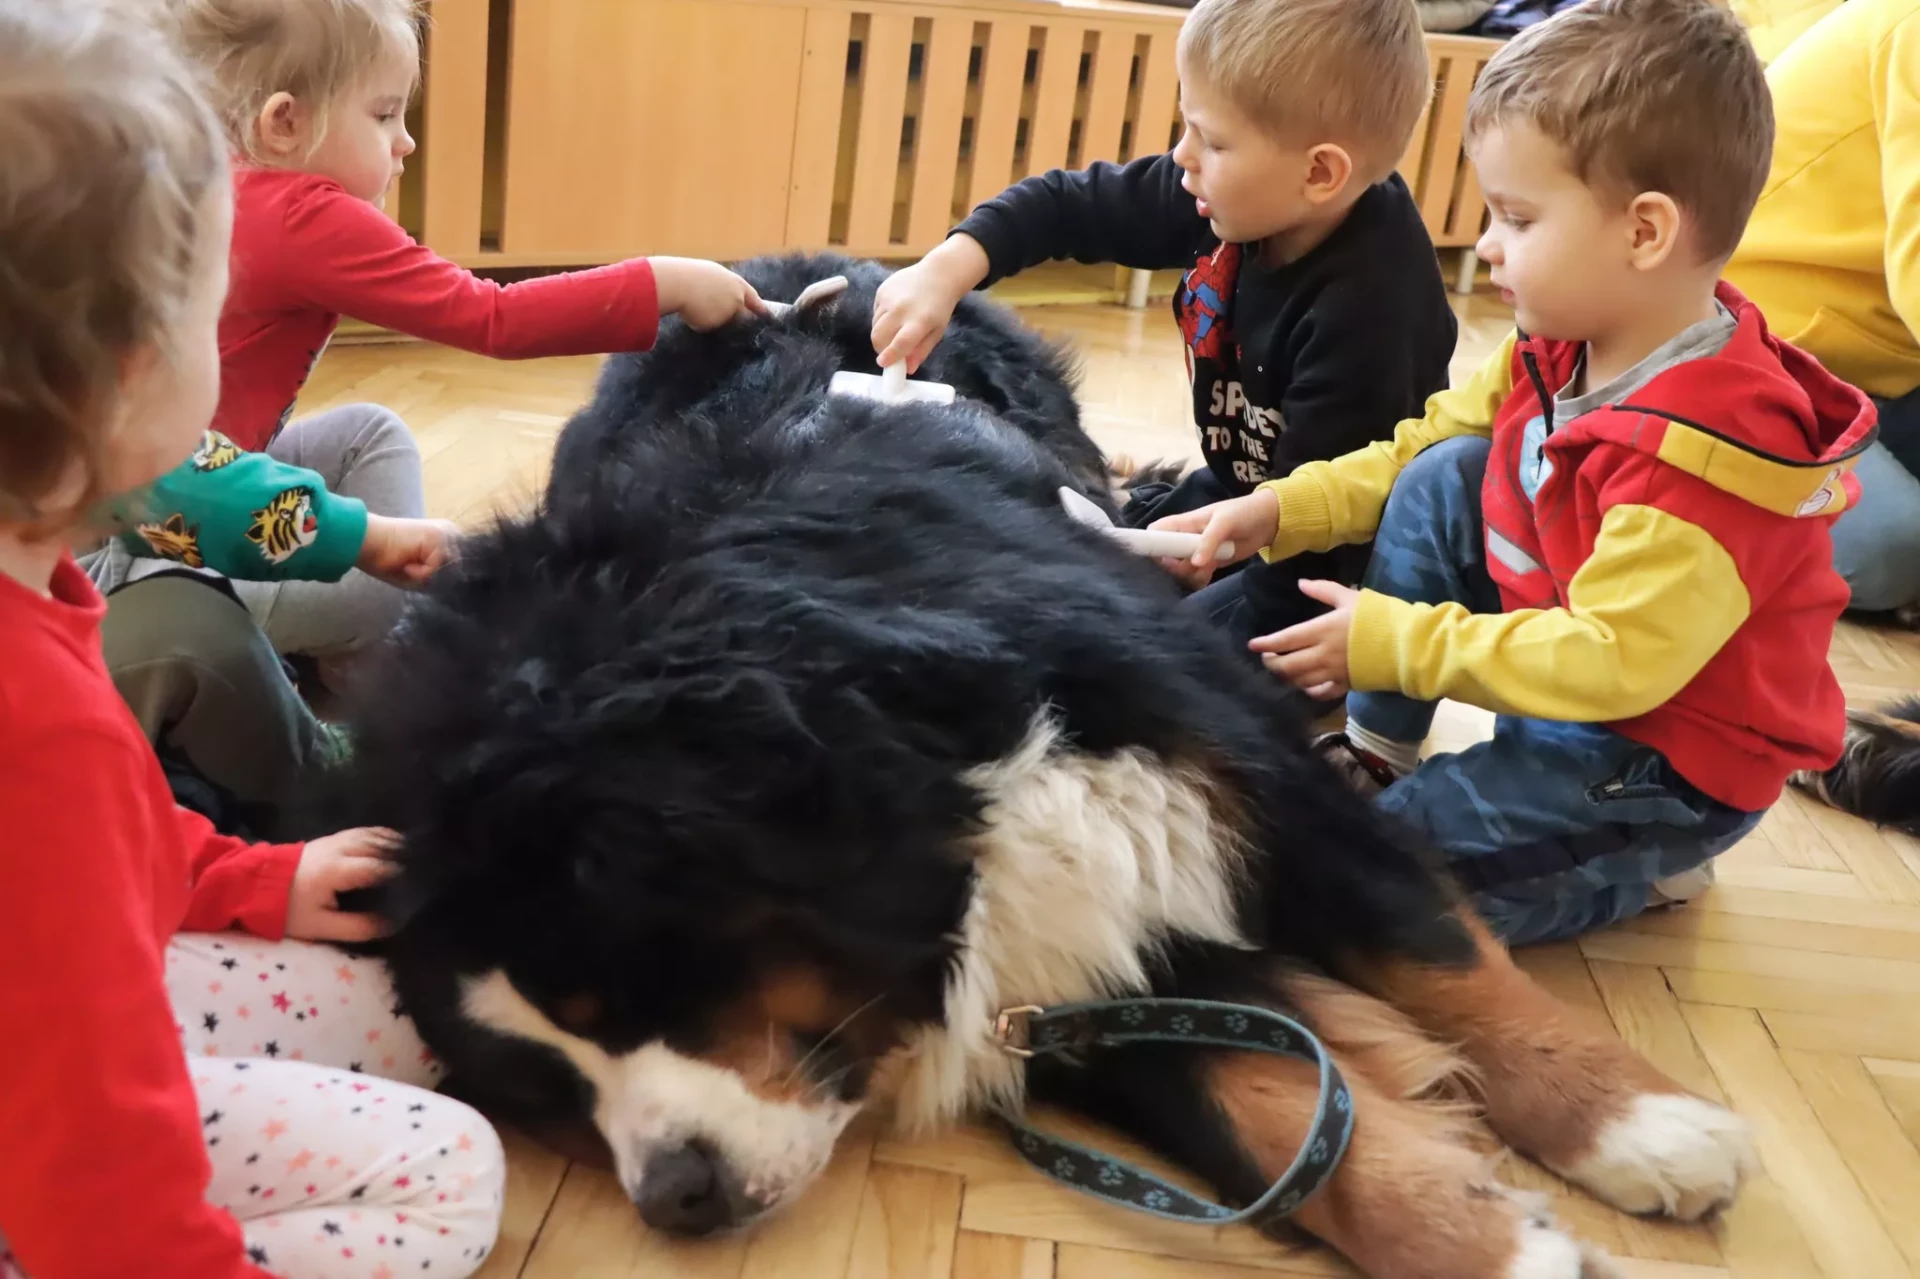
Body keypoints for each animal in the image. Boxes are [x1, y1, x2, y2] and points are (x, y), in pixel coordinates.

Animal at [323, 253, 1753, 1279]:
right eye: (547, 1087)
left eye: (642, 986)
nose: (676, 1194)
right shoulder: (1063, 972)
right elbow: (1258, 1104)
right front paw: (1487, 1238)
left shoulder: (1224, 750)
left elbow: (1440, 958)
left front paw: (1635, 1125)